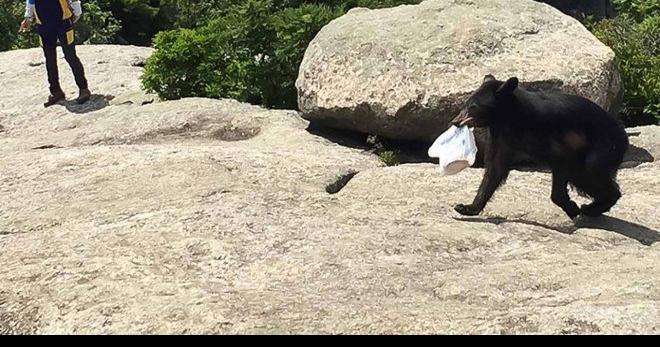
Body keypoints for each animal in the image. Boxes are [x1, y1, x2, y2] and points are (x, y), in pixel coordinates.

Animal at [452, 75, 628, 219]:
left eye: (473, 106)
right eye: (466, 104)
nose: (455, 121)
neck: (509, 117)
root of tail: (623, 132)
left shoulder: (547, 134)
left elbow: (560, 159)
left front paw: (572, 208)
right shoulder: (500, 137)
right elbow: (494, 169)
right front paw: (466, 207)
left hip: (603, 145)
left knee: (591, 170)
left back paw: (592, 207)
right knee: (581, 177)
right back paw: (593, 207)